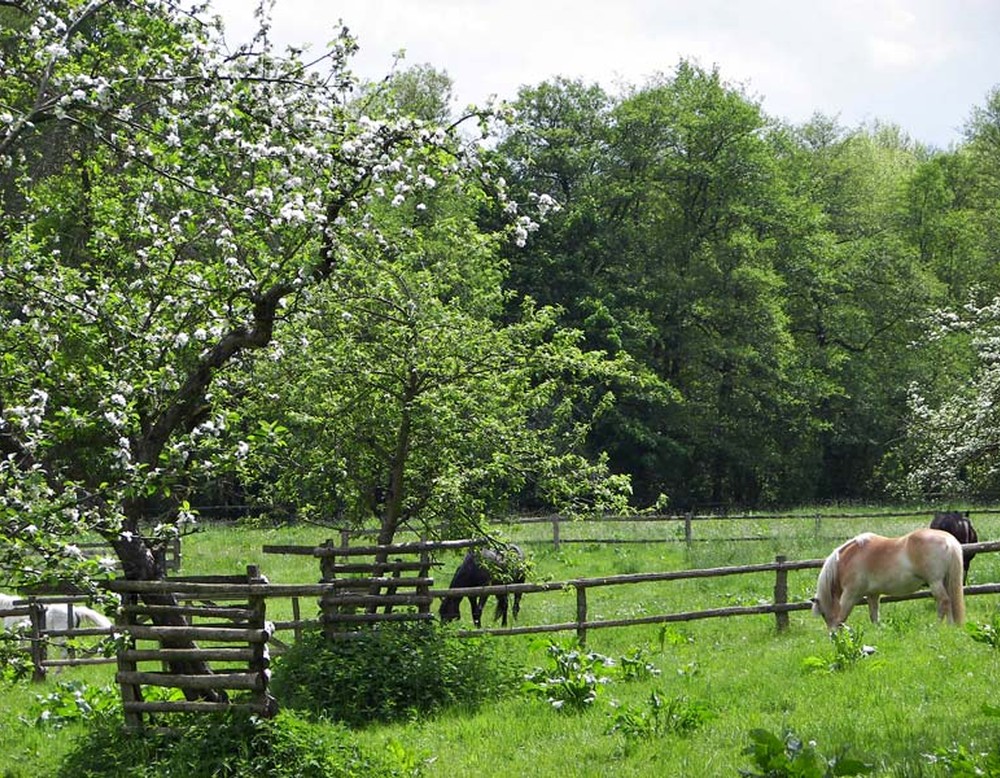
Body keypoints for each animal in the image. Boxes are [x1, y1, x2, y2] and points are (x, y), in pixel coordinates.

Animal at [812, 528, 968, 632]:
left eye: (823, 613)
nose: (831, 635)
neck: (849, 558)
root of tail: (948, 539)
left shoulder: (850, 595)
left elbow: (842, 616)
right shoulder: (872, 595)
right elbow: (874, 615)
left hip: (935, 583)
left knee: (944, 602)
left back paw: (939, 626)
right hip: (945, 582)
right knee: (949, 602)